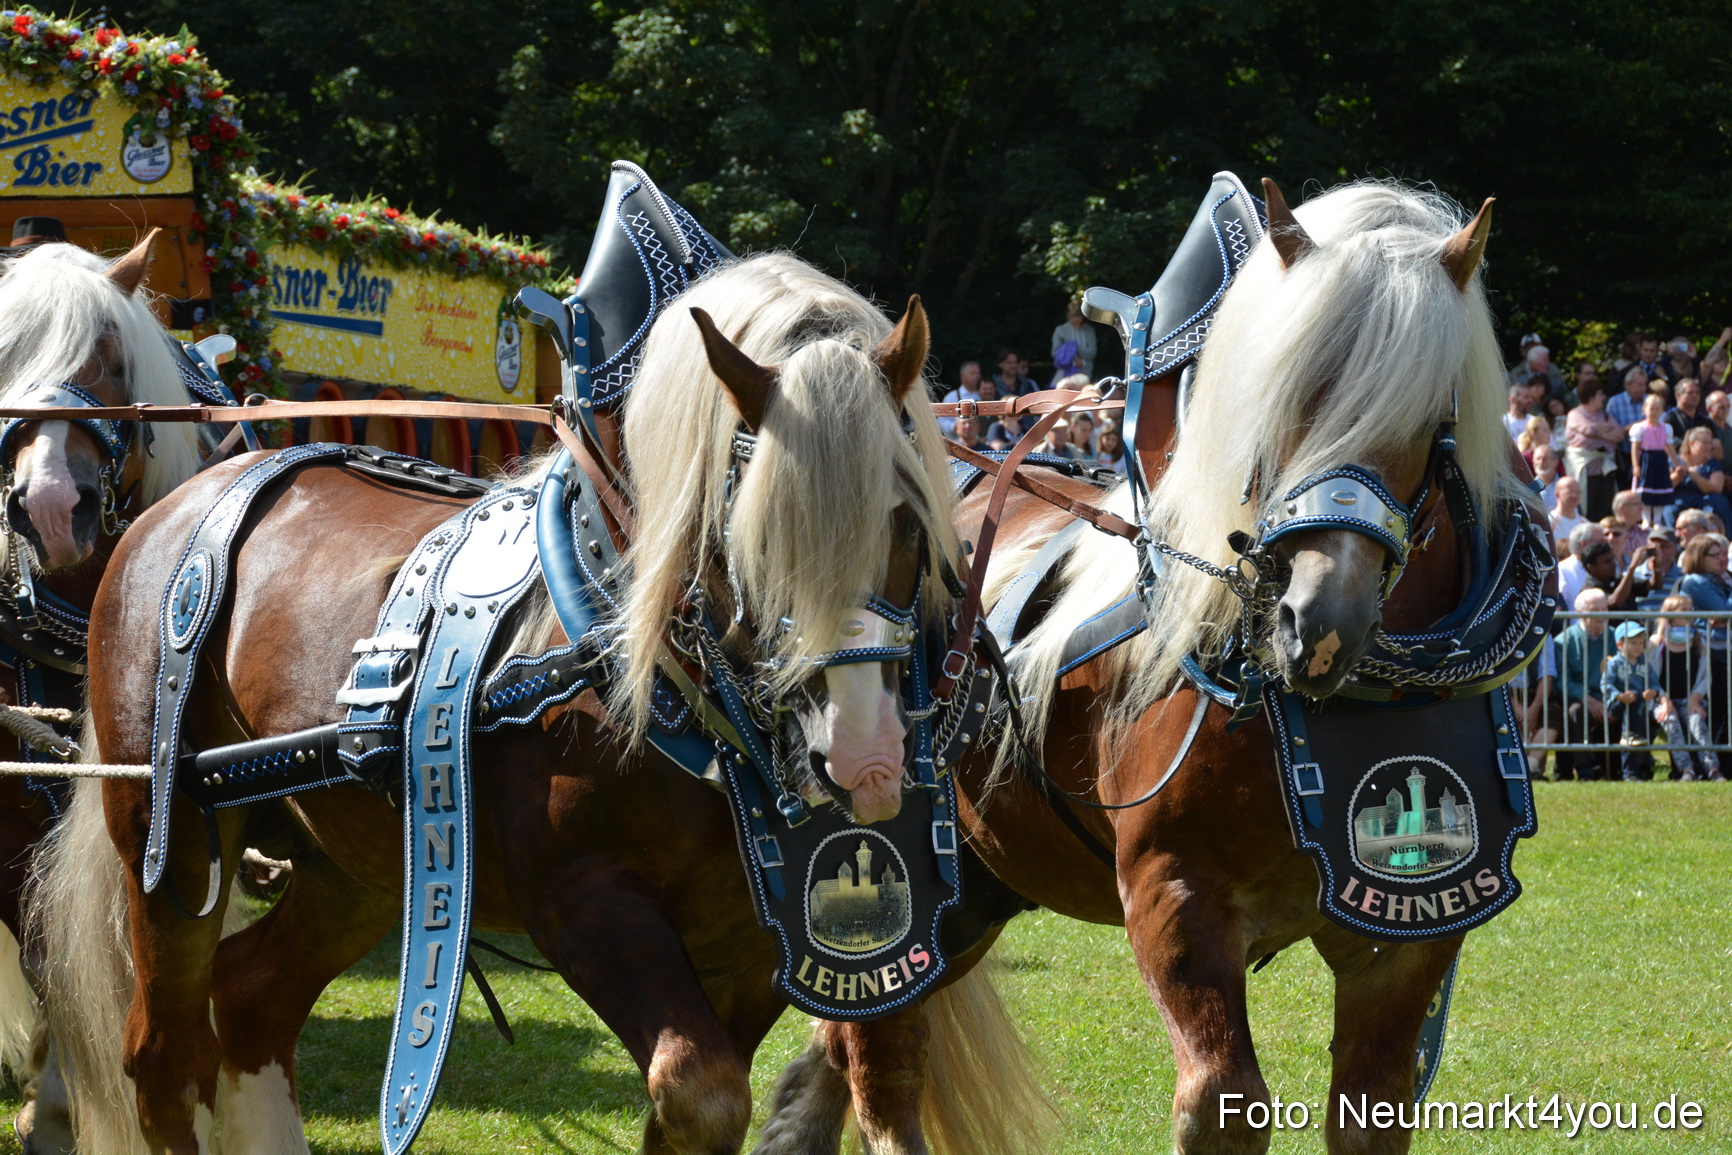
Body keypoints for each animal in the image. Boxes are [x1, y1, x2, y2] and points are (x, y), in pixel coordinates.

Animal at [33, 252, 1050, 1155]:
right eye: (754, 535)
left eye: (909, 523)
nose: (866, 758)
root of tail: (171, 507)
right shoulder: (582, 896)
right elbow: (702, 1093)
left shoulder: (751, 946)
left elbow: (687, 1113)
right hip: (166, 840)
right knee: (163, 1057)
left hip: (357, 863)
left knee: (251, 998)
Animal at [755, 179, 1539, 1155]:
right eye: (1280, 398)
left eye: (1435, 420)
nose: (1316, 623)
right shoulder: (1174, 892)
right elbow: (1222, 1103)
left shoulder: (1413, 926)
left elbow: (1370, 1108)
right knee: (883, 1064)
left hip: (972, 896)